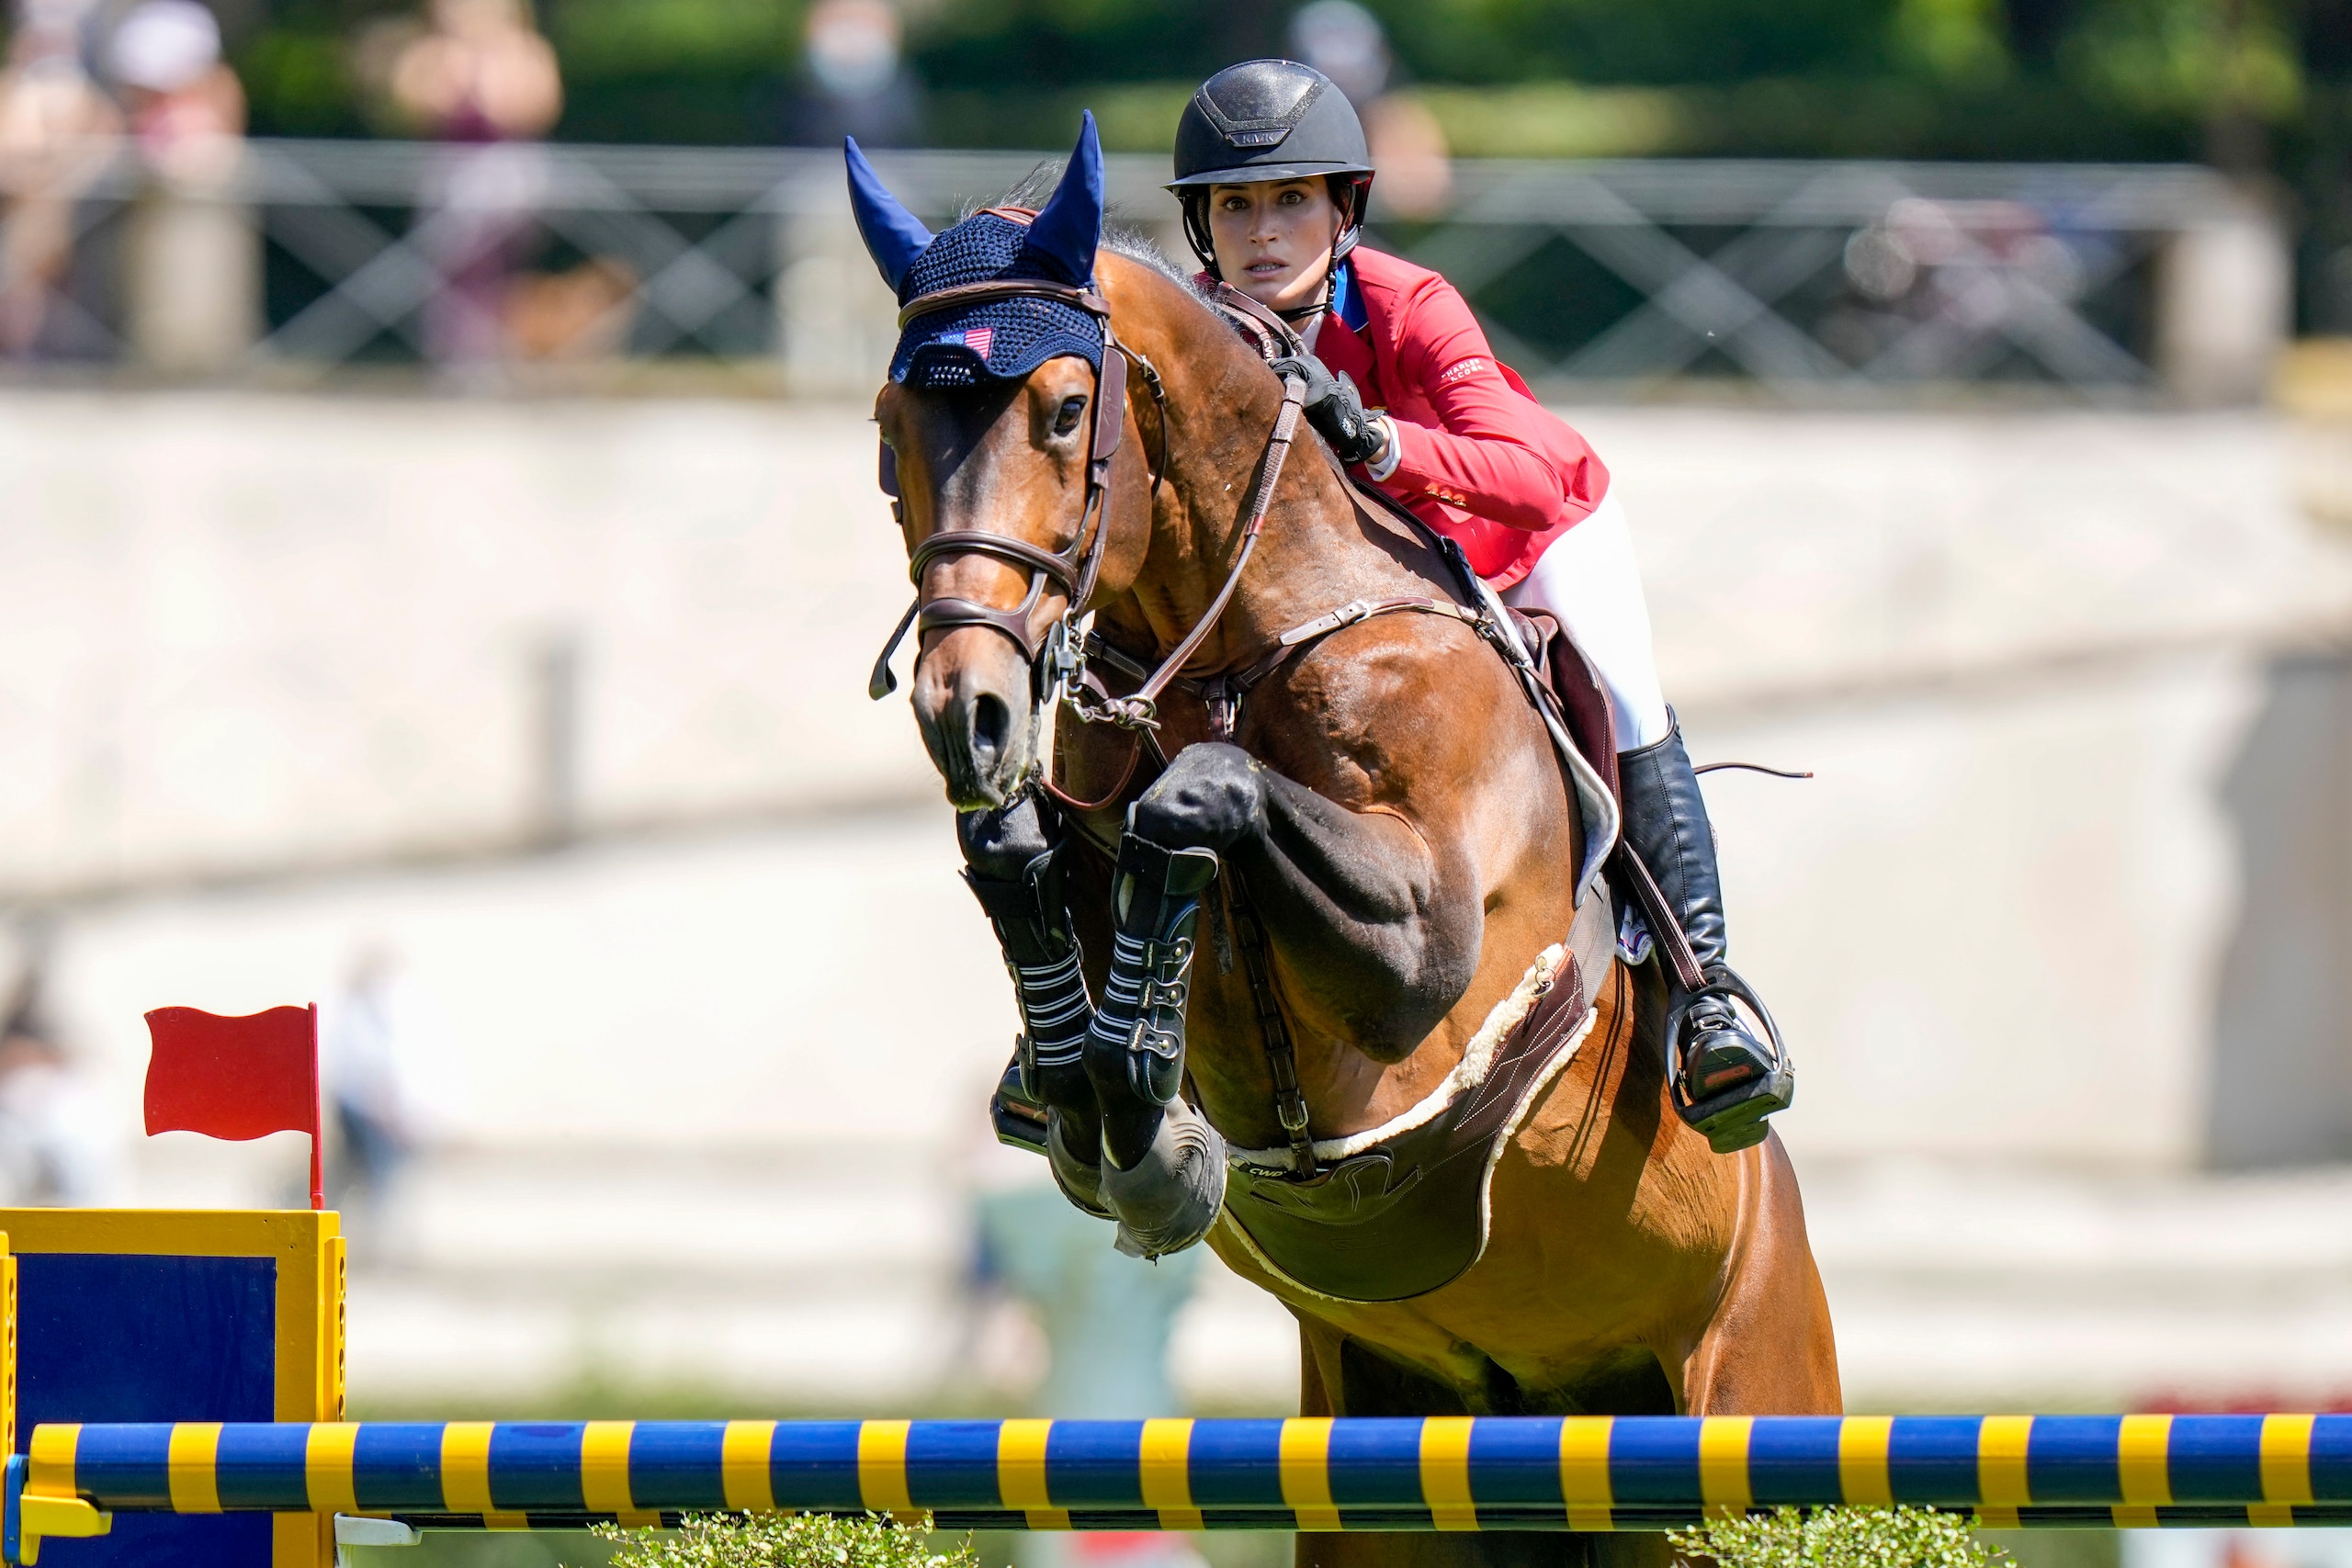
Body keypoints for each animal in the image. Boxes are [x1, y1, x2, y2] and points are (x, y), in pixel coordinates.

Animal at [853, 122, 1839, 1567]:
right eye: (889, 432)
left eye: (1066, 410)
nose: (963, 709)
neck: (1244, 636)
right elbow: (1029, 860)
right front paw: (1112, 1100)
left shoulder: (1426, 957)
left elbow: (1198, 802)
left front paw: (1143, 1096)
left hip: (1743, 1406)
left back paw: (1721, 1045)